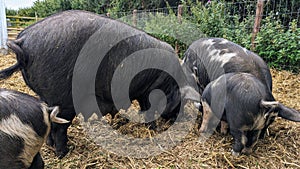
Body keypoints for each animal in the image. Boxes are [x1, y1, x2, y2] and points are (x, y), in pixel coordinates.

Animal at [1, 9, 202, 158]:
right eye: (182, 102)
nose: (176, 119)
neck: (169, 82)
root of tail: (23, 40)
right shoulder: (149, 90)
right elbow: (149, 109)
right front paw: (154, 127)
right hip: (62, 98)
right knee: (59, 126)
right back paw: (64, 153)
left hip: (45, 95)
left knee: (49, 120)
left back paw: (52, 147)